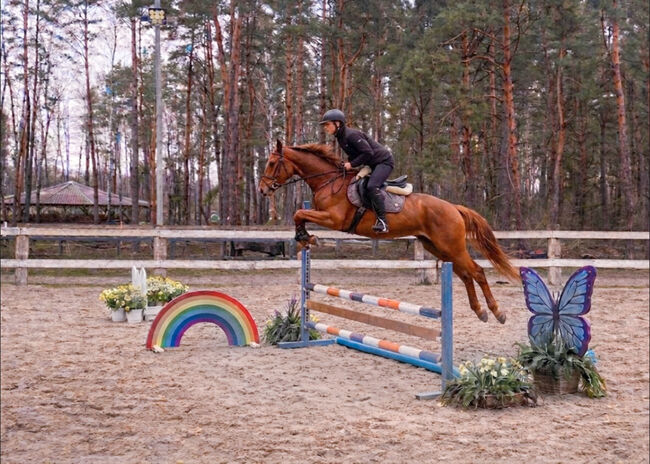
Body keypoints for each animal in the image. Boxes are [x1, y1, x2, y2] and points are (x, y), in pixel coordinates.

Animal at [258, 140, 520, 324]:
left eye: (271, 163)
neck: (329, 180)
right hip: (438, 247)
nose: (262, 190)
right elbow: (299, 215)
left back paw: (496, 312)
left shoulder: (334, 219)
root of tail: (453, 207)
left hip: (452, 247)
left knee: (477, 272)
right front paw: (305, 238)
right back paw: (480, 311)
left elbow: (298, 213)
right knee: (465, 275)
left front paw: (306, 236)